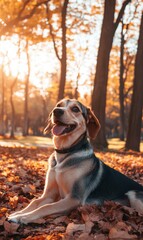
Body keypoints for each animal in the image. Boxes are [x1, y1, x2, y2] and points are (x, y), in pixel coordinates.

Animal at [8, 98, 143, 224]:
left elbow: (46, 207)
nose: (56, 111)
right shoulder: (49, 194)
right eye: (58, 105)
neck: (65, 153)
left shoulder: (74, 198)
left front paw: (23, 217)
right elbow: (34, 202)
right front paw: (18, 213)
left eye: (75, 109)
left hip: (133, 194)